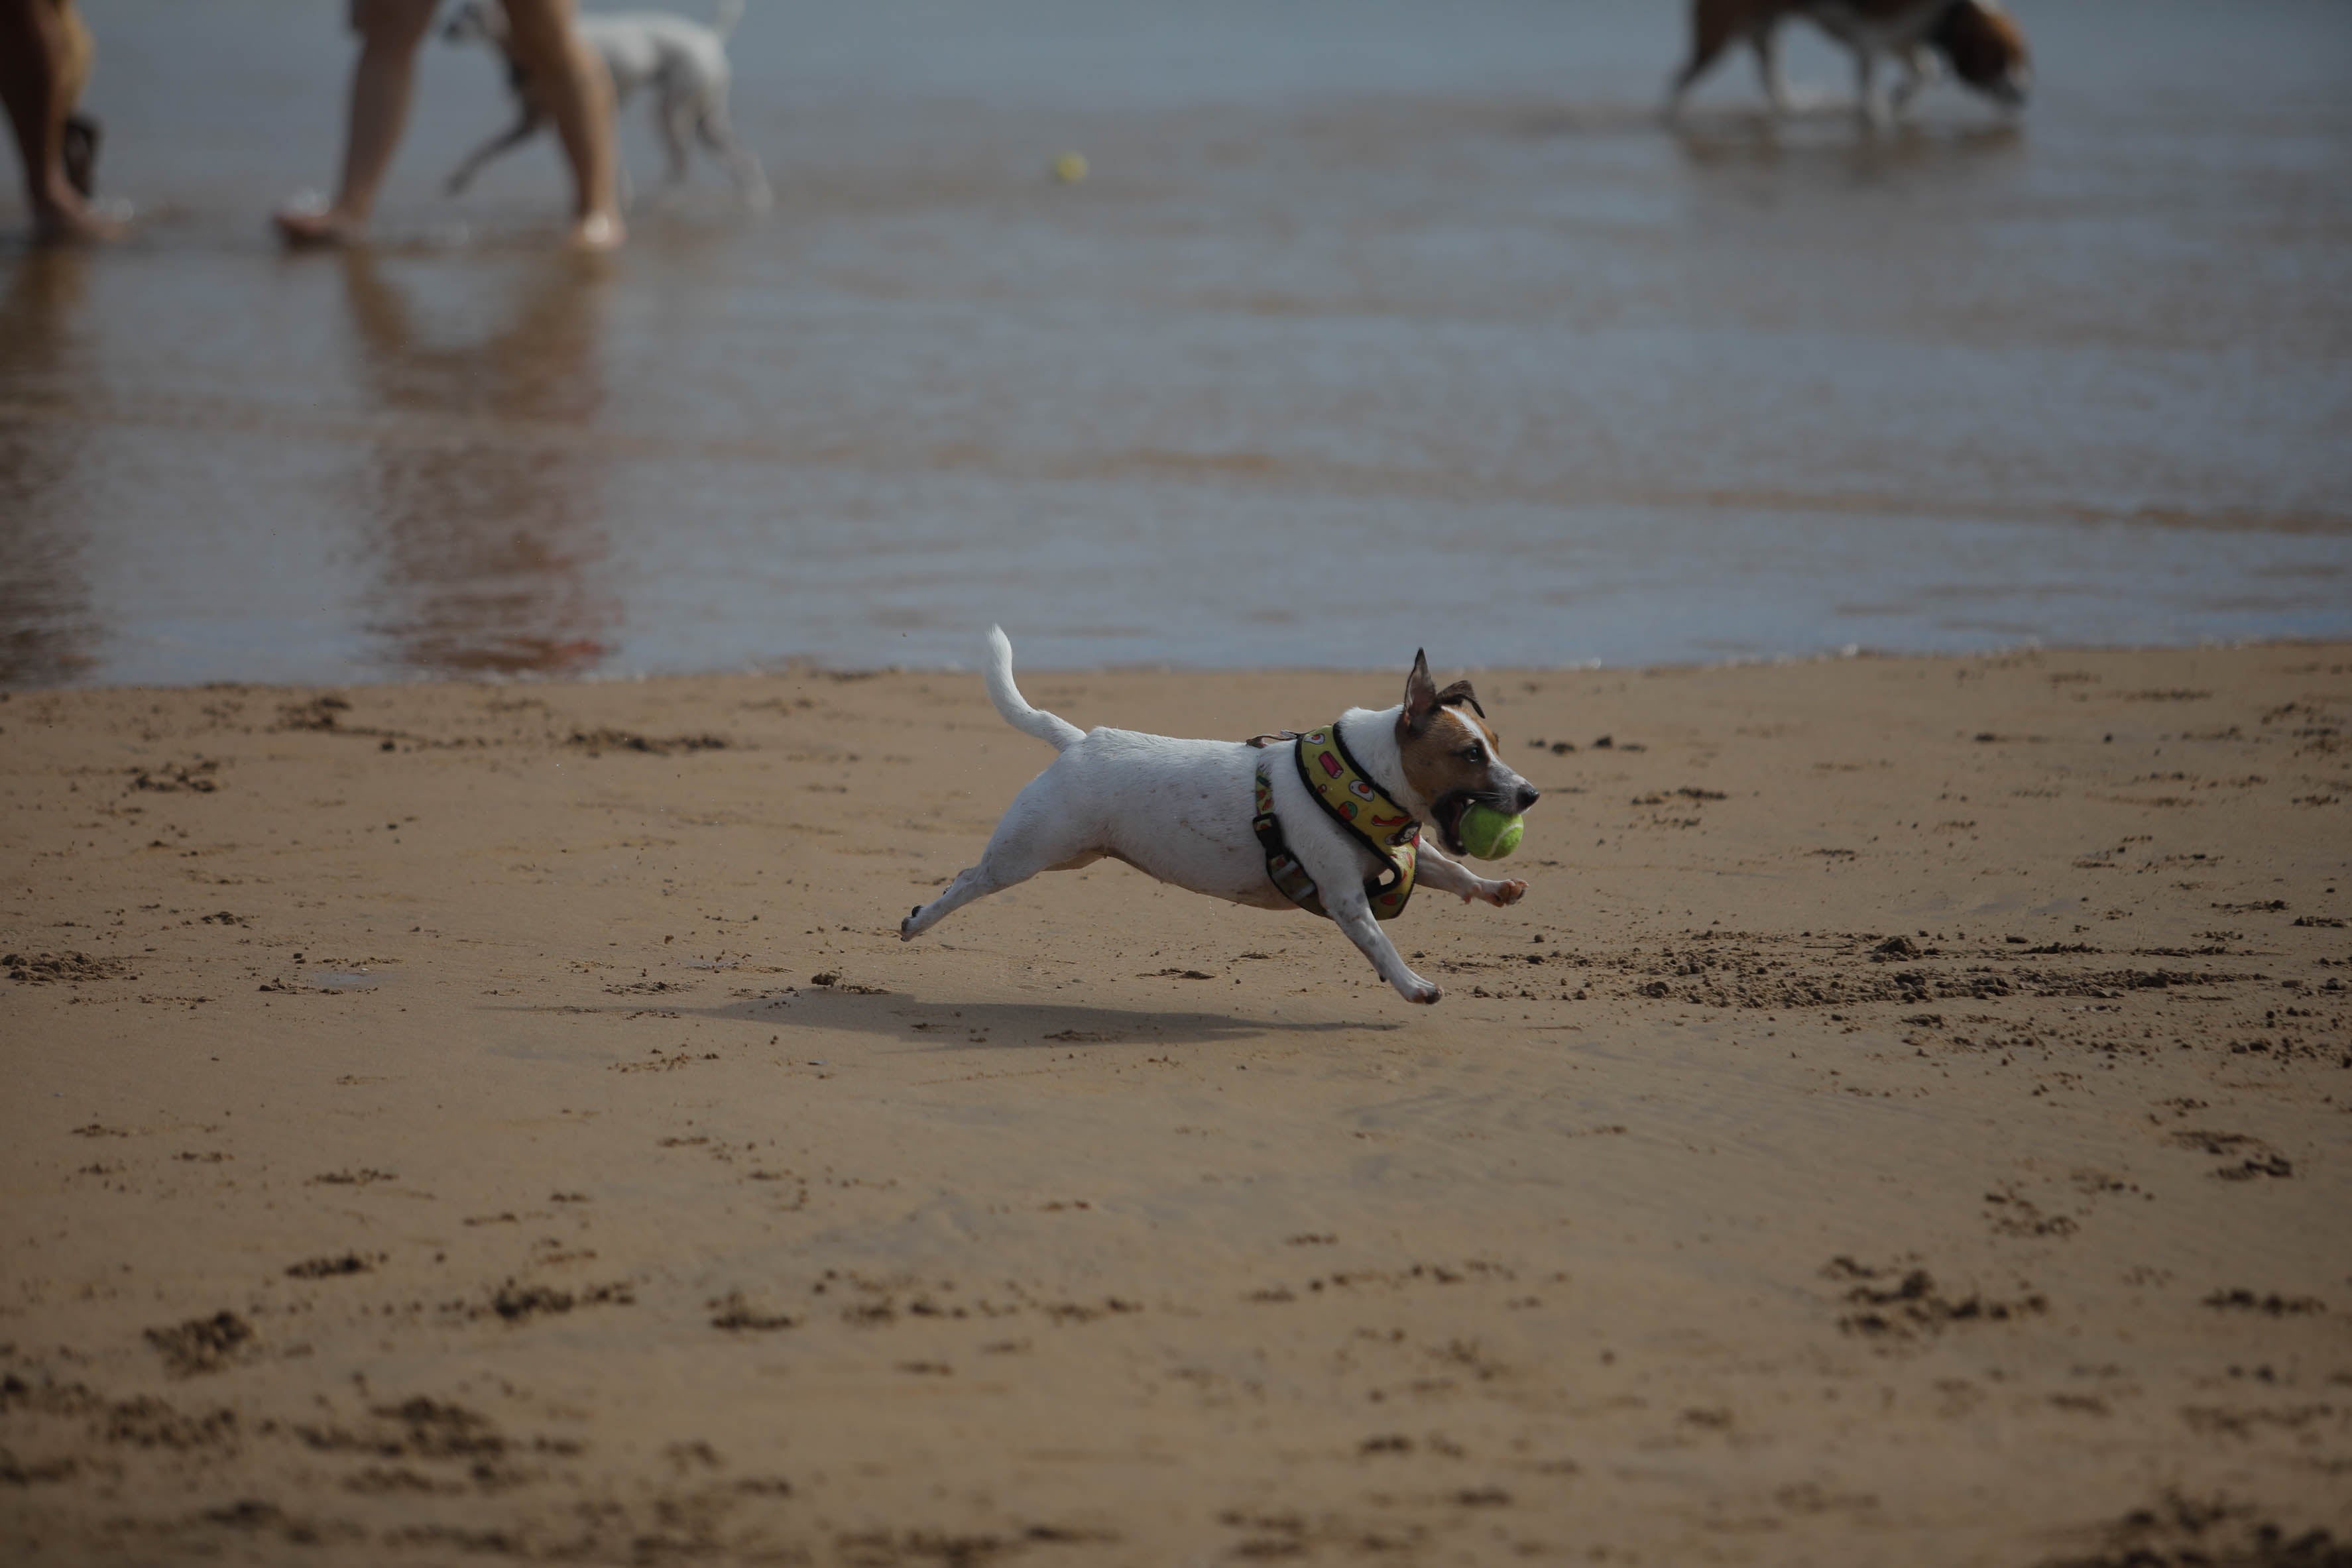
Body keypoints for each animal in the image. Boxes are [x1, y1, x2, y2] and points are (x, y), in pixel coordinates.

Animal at [442, 0, 771, 210]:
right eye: (461, 7)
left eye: (473, 11)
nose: (447, 28)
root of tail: (710, 37)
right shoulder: (530, 123)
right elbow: (485, 149)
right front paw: (458, 180)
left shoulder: (585, 112)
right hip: (708, 124)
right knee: (746, 160)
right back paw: (755, 198)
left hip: (671, 115)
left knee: (683, 164)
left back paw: (657, 202)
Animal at [898, 630, 1543, 1006]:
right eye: (1471, 754)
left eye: (1495, 743)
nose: (1532, 794)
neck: (1362, 777)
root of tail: (1079, 741)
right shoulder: (1344, 897)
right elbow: (1379, 943)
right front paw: (1412, 985)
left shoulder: (1408, 858)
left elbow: (1453, 873)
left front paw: (1495, 888)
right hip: (1031, 851)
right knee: (969, 880)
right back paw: (920, 920)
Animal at [1665, 0, 2032, 125]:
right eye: (2001, 59)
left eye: (2021, 59)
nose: (2024, 96)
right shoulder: (1870, 36)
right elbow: (1869, 88)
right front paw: (1877, 115)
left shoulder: (1901, 37)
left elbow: (1923, 71)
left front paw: (1898, 100)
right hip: (1718, 35)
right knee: (1678, 79)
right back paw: (1673, 116)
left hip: (1764, 31)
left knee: (1771, 81)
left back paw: (1795, 107)